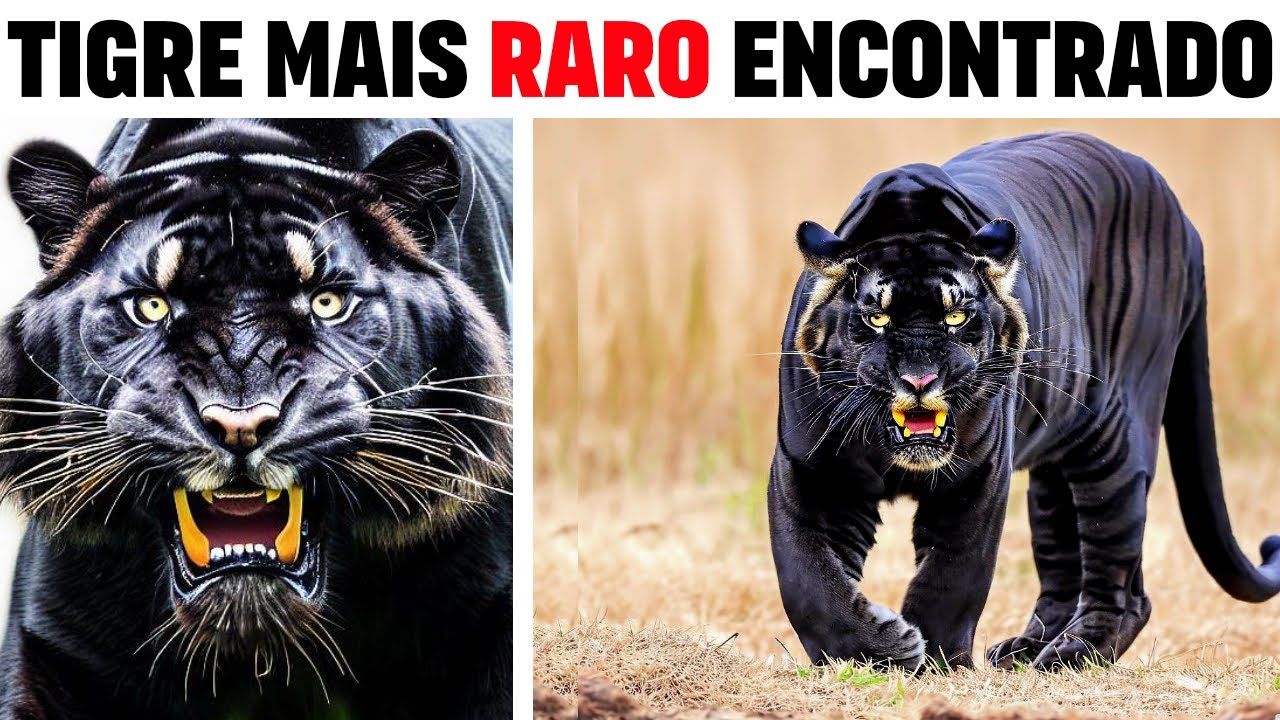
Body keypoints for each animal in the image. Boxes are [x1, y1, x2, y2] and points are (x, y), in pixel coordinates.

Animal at [768, 131, 1280, 672]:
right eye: (877, 318)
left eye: (955, 315)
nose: (919, 378)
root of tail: (1186, 222)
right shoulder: (811, 471)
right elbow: (807, 577)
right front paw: (871, 651)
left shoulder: (978, 473)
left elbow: (954, 573)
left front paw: (934, 658)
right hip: (1054, 474)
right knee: (1066, 560)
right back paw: (1027, 648)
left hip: (1115, 444)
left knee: (1120, 571)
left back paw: (1075, 652)